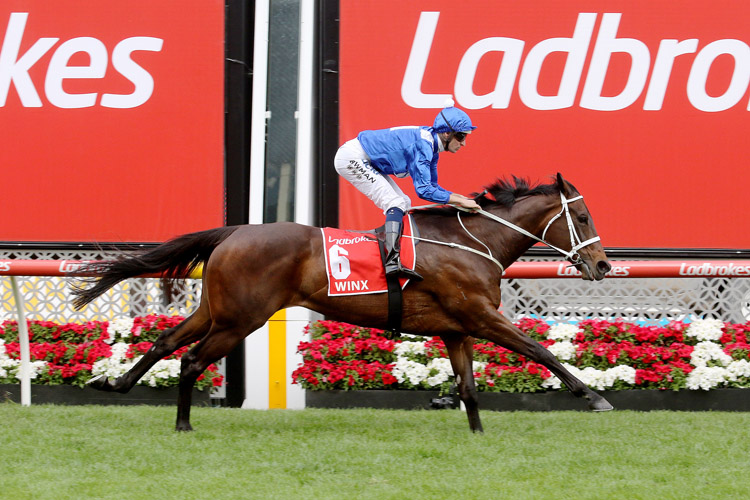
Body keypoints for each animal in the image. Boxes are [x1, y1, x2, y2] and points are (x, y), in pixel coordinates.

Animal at [73, 174, 616, 432]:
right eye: (583, 217)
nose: (603, 266)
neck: (472, 241)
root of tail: (232, 232)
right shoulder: (481, 317)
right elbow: (540, 350)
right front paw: (594, 396)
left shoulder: (456, 329)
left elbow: (468, 388)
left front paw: (477, 434)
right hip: (240, 319)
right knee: (190, 360)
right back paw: (183, 423)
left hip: (217, 309)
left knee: (166, 341)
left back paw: (116, 383)